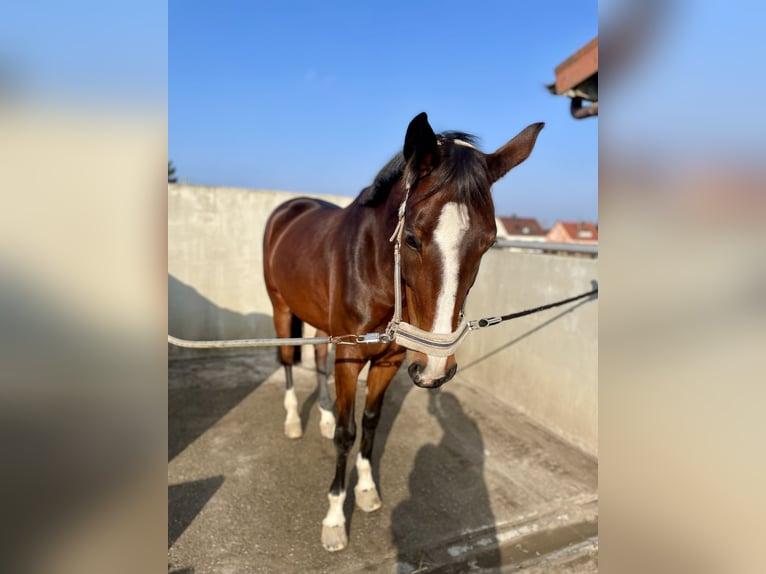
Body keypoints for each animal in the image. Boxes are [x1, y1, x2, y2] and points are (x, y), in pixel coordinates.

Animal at [262, 112, 543, 551]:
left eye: (488, 243)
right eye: (411, 237)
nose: (435, 368)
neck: (373, 270)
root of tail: (290, 208)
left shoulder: (389, 361)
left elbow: (371, 424)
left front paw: (366, 491)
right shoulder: (350, 357)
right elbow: (347, 431)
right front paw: (334, 519)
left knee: (318, 359)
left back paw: (320, 416)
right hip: (280, 306)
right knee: (289, 359)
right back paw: (294, 420)